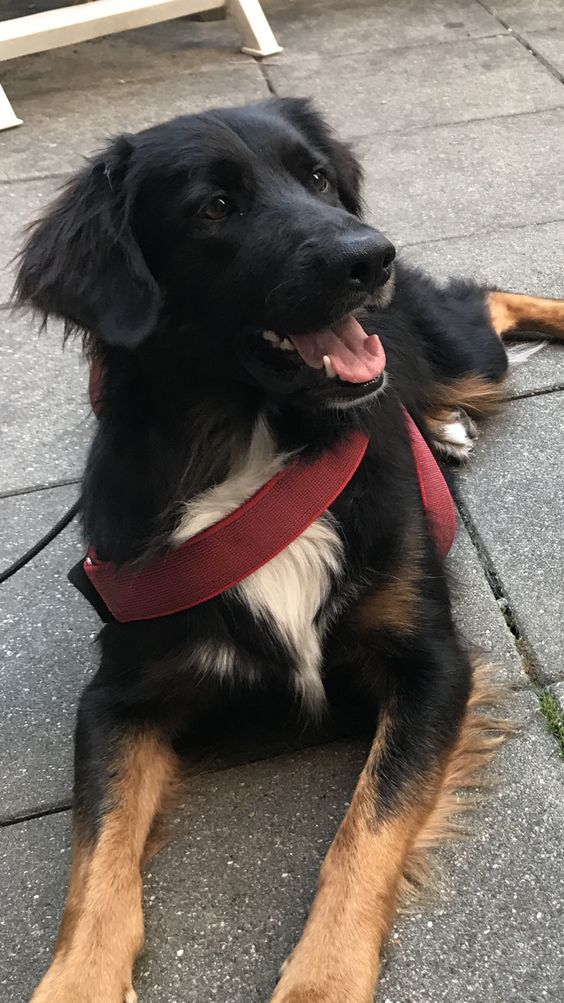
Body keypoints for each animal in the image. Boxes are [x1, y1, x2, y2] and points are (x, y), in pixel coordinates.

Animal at [15, 95, 561, 1003]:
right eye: (214, 207)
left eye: (317, 177)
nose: (371, 256)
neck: (253, 441)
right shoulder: (116, 698)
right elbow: (94, 861)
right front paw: (76, 982)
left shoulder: (433, 664)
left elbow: (363, 831)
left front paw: (320, 980)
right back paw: (443, 428)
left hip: (464, 352)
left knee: (489, 301)